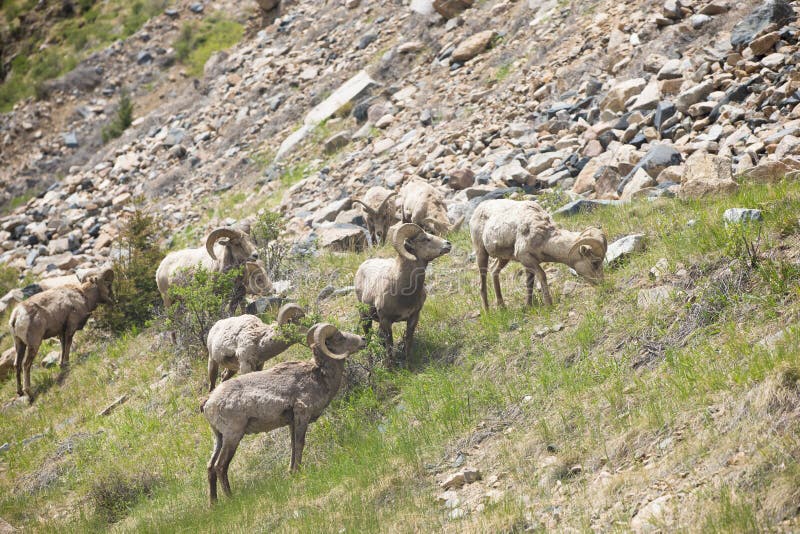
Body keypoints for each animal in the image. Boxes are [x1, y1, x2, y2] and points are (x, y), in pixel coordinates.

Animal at [9, 268, 114, 402]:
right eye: (107, 284)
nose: (112, 298)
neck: (83, 296)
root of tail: (16, 316)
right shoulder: (70, 327)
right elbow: (68, 345)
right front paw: (67, 364)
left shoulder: (61, 332)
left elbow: (63, 347)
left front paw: (61, 365)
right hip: (34, 344)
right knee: (25, 365)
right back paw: (30, 394)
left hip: (19, 344)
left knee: (17, 364)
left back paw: (20, 392)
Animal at [200, 324, 366, 504]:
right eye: (340, 338)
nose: (363, 339)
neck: (319, 376)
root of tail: (208, 402)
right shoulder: (302, 415)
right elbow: (299, 444)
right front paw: (298, 473)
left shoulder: (292, 423)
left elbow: (293, 445)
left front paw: (291, 472)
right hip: (233, 436)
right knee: (220, 466)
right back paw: (231, 498)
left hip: (219, 438)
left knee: (210, 467)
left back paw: (213, 503)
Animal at [354, 222, 450, 360]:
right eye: (424, 239)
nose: (448, 244)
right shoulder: (386, 321)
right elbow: (389, 346)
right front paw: (391, 365)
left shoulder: (413, 317)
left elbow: (408, 341)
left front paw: (407, 362)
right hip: (365, 318)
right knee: (368, 339)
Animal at [468, 200, 608, 310]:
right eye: (595, 263)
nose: (602, 283)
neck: (545, 237)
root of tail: (478, 209)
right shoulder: (528, 259)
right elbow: (542, 275)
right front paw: (548, 304)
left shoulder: (528, 264)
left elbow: (529, 283)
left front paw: (529, 306)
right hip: (481, 253)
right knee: (483, 281)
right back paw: (487, 311)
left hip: (503, 258)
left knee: (494, 271)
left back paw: (502, 307)